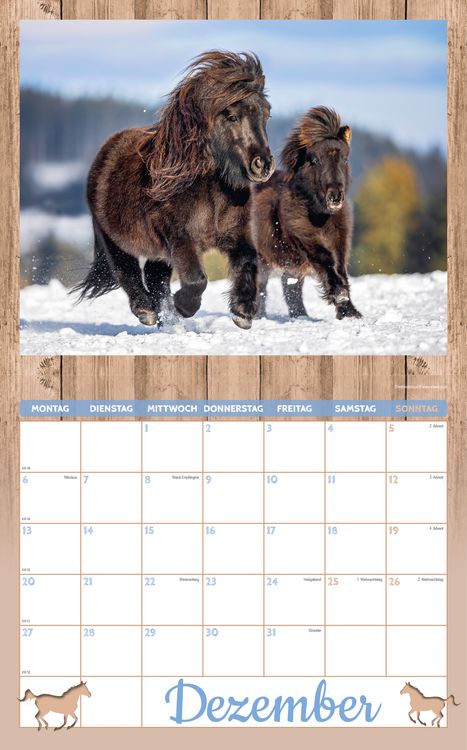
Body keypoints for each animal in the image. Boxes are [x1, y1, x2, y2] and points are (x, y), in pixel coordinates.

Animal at [73, 51, 274, 330]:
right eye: (232, 116)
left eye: (266, 115)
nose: (263, 165)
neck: (211, 193)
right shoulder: (180, 238)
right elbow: (196, 279)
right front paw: (184, 306)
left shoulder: (237, 233)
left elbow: (248, 262)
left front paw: (243, 312)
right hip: (113, 239)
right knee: (127, 271)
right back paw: (147, 311)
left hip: (158, 252)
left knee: (154, 277)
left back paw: (165, 320)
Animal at [252, 106, 361, 321]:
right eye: (315, 160)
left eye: (345, 158)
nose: (335, 196)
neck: (321, 217)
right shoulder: (305, 238)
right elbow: (325, 260)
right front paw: (339, 294)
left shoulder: (340, 240)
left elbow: (340, 267)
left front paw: (349, 311)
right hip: (261, 259)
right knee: (261, 287)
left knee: (290, 289)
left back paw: (301, 316)